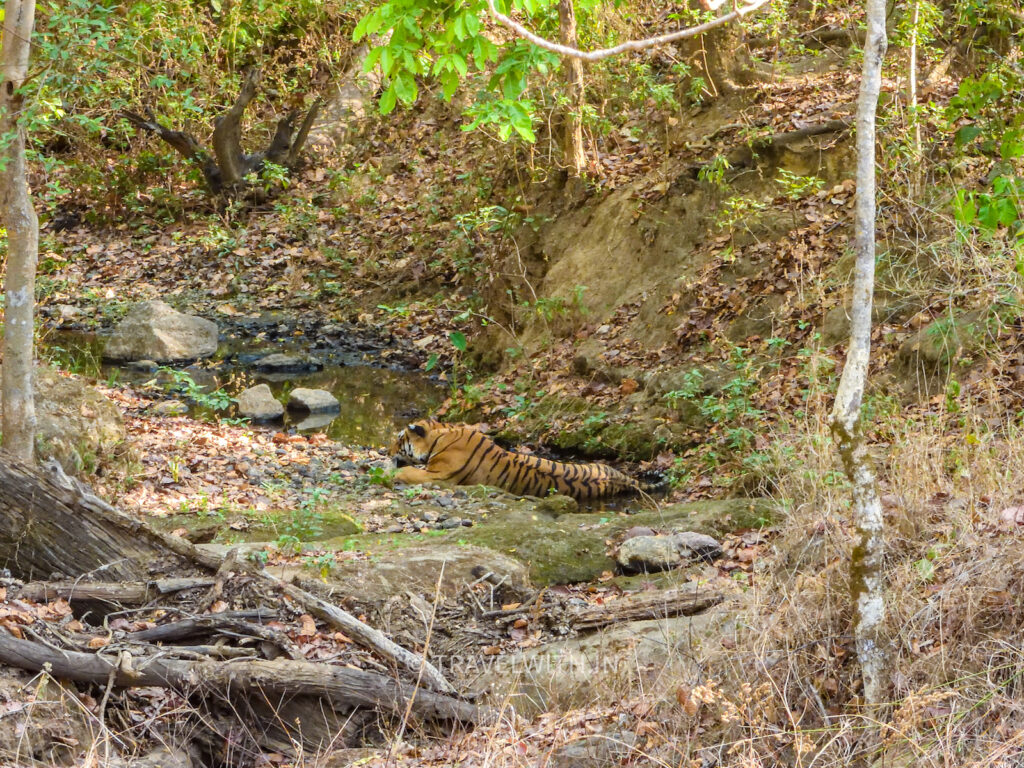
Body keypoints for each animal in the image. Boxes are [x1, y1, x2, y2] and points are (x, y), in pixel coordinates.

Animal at [387, 417, 659, 501]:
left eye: (399, 439)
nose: (386, 452)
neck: (442, 434)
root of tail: (622, 479)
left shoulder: (439, 475)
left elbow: (409, 472)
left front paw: (392, 474)